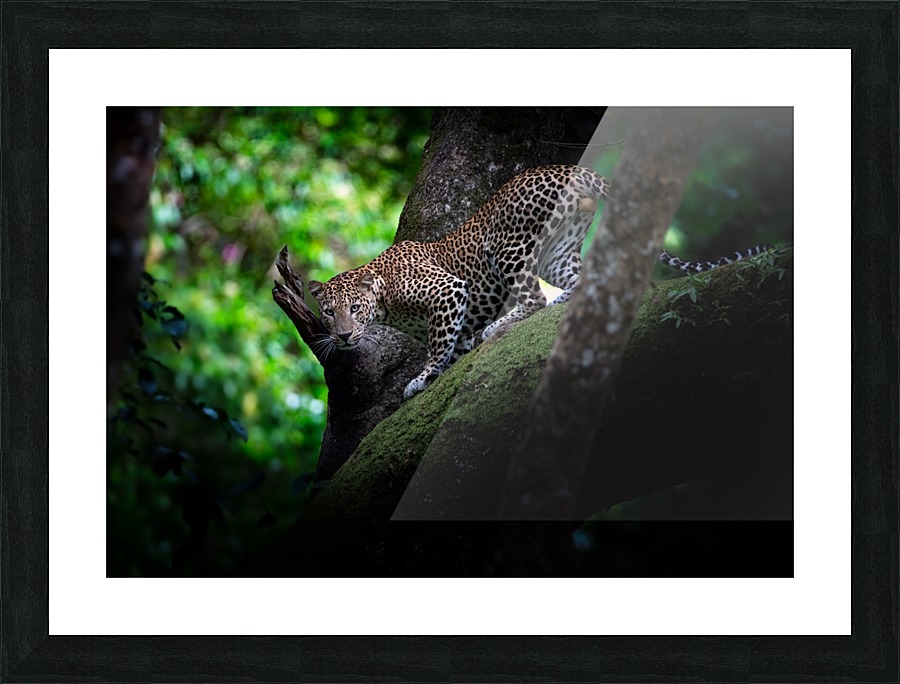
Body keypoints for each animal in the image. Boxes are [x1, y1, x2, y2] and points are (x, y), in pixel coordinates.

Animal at [308, 164, 772, 400]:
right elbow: (453, 342)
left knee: (533, 299)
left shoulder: (447, 292)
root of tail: (570, 167)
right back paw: (566, 300)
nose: (343, 336)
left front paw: (422, 378)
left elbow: (439, 346)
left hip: (508, 246)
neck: (386, 299)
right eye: (328, 312)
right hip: (558, 251)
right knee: (582, 282)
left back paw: (499, 327)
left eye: (355, 309)